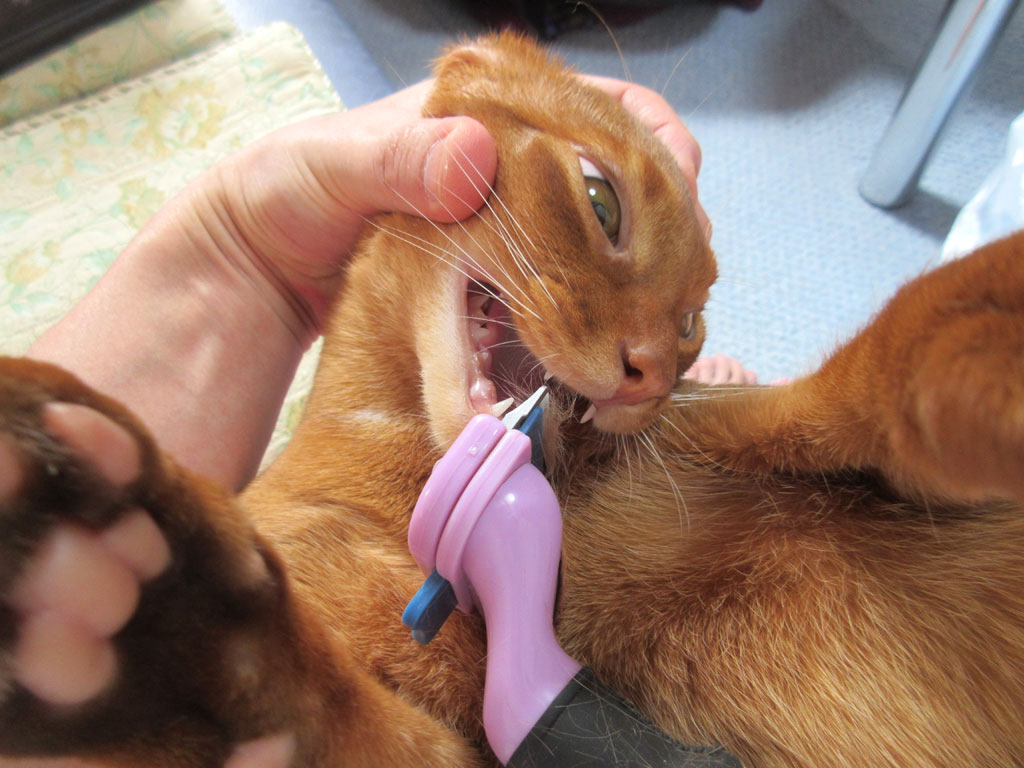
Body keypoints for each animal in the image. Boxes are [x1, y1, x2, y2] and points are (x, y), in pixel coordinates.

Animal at [1, 31, 1023, 768]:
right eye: (600, 201)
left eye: (692, 322)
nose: (650, 373)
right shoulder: (453, 743)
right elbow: (318, 705)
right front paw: (159, 619)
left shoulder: (766, 429)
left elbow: (874, 366)